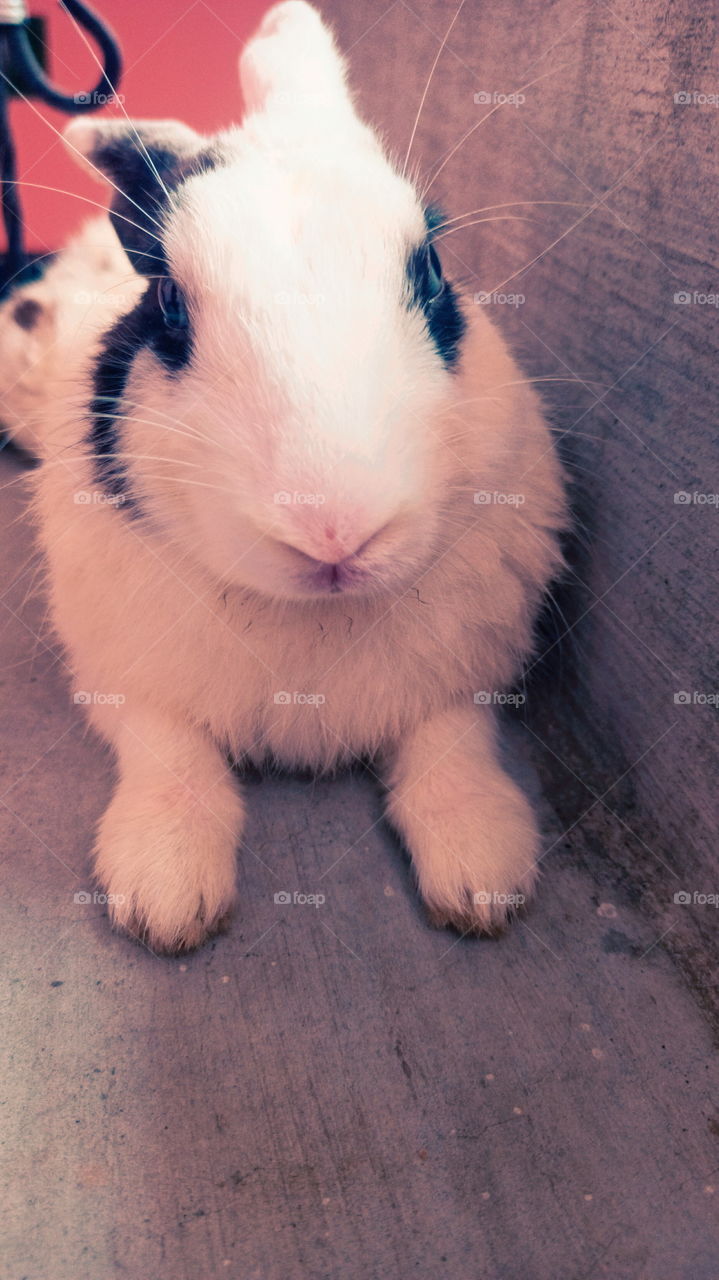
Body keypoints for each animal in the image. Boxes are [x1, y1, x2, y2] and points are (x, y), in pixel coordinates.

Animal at [0, 0, 567, 953]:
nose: (334, 531)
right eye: (170, 305)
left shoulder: (459, 682)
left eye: (431, 270)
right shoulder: (129, 683)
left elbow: (452, 745)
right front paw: (165, 891)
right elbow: (170, 754)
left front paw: (482, 874)